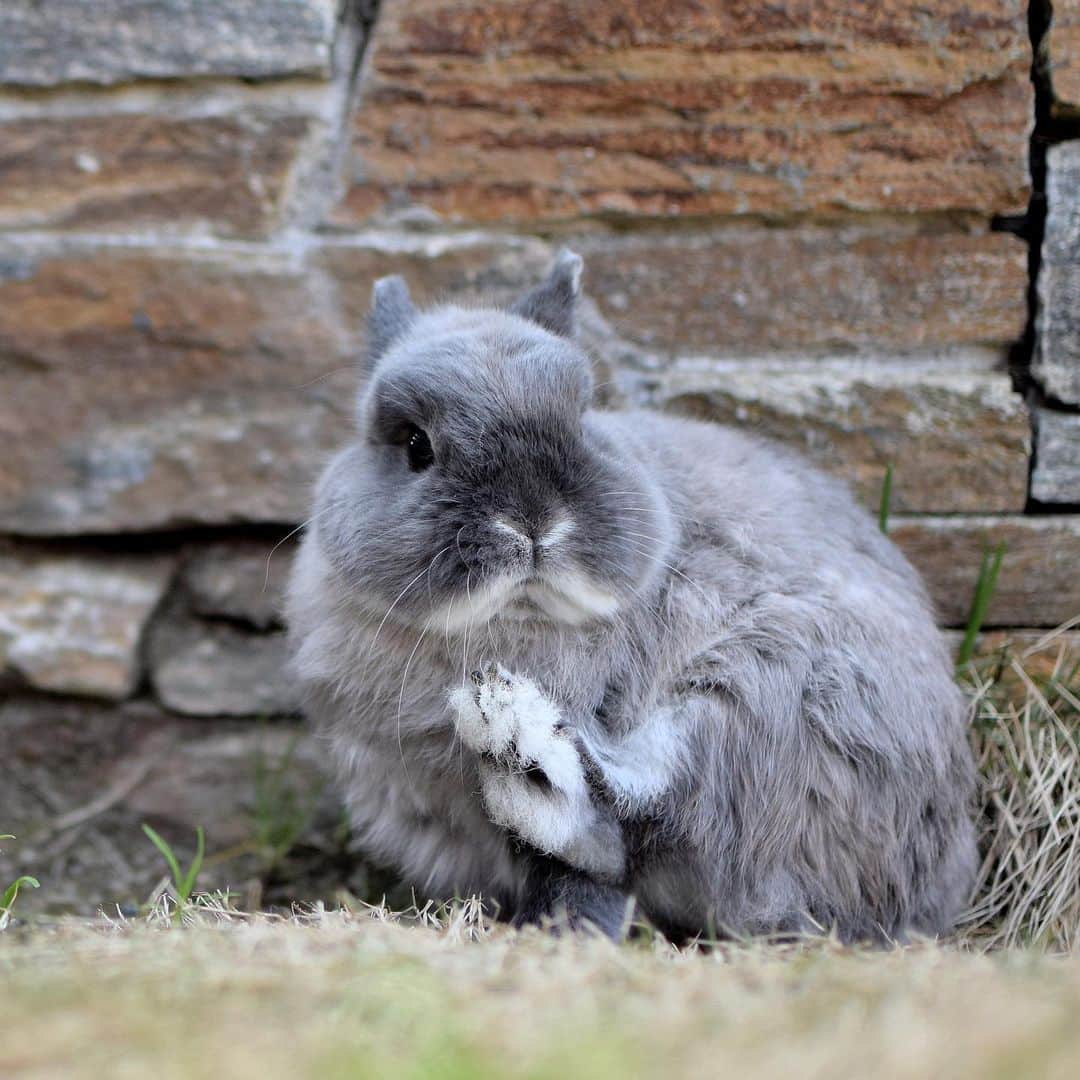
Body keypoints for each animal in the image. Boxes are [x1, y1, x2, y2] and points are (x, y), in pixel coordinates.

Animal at [286, 250, 977, 942]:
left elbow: (587, 870)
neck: (509, 624)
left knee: (642, 814)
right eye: (415, 445)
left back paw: (512, 735)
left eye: (582, 421)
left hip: (771, 693)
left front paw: (564, 931)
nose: (530, 522)